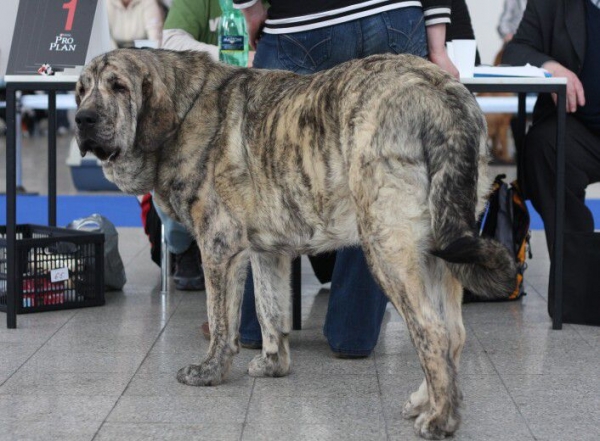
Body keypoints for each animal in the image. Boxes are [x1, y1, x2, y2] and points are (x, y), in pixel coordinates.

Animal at [75, 49, 516, 438]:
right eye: (81, 90)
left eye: (118, 86)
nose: (82, 119)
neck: (184, 111)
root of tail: (443, 95)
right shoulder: (266, 252)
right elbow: (269, 309)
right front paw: (273, 364)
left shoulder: (219, 245)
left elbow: (221, 319)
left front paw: (209, 371)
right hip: (439, 251)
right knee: (453, 333)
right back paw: (428, 402)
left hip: (388, 246)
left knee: (431, 331)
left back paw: (440, 420)